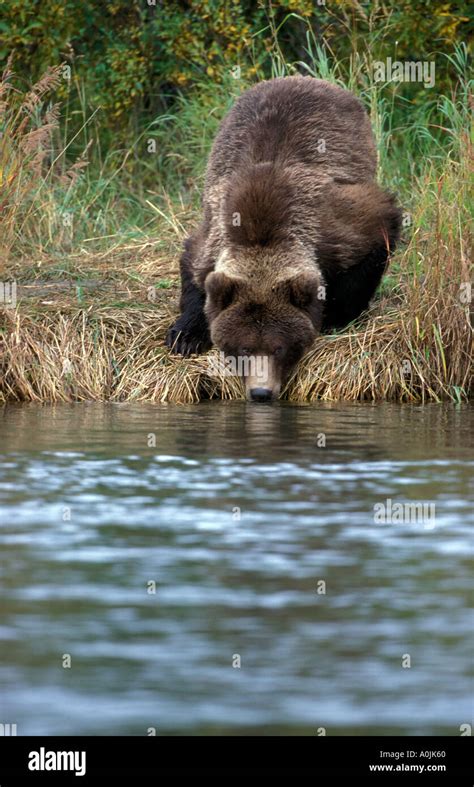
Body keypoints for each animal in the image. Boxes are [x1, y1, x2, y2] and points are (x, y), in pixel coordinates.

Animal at [165, 75, 402, 400]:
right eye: (243, 348)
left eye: (279, 347)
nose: (261, 392)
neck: (262, 234)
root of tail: (301, 78)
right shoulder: (218, 225)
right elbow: (194, 264)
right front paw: (185, 336)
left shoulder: (334, 223)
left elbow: (375, 238)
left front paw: (335, 316)